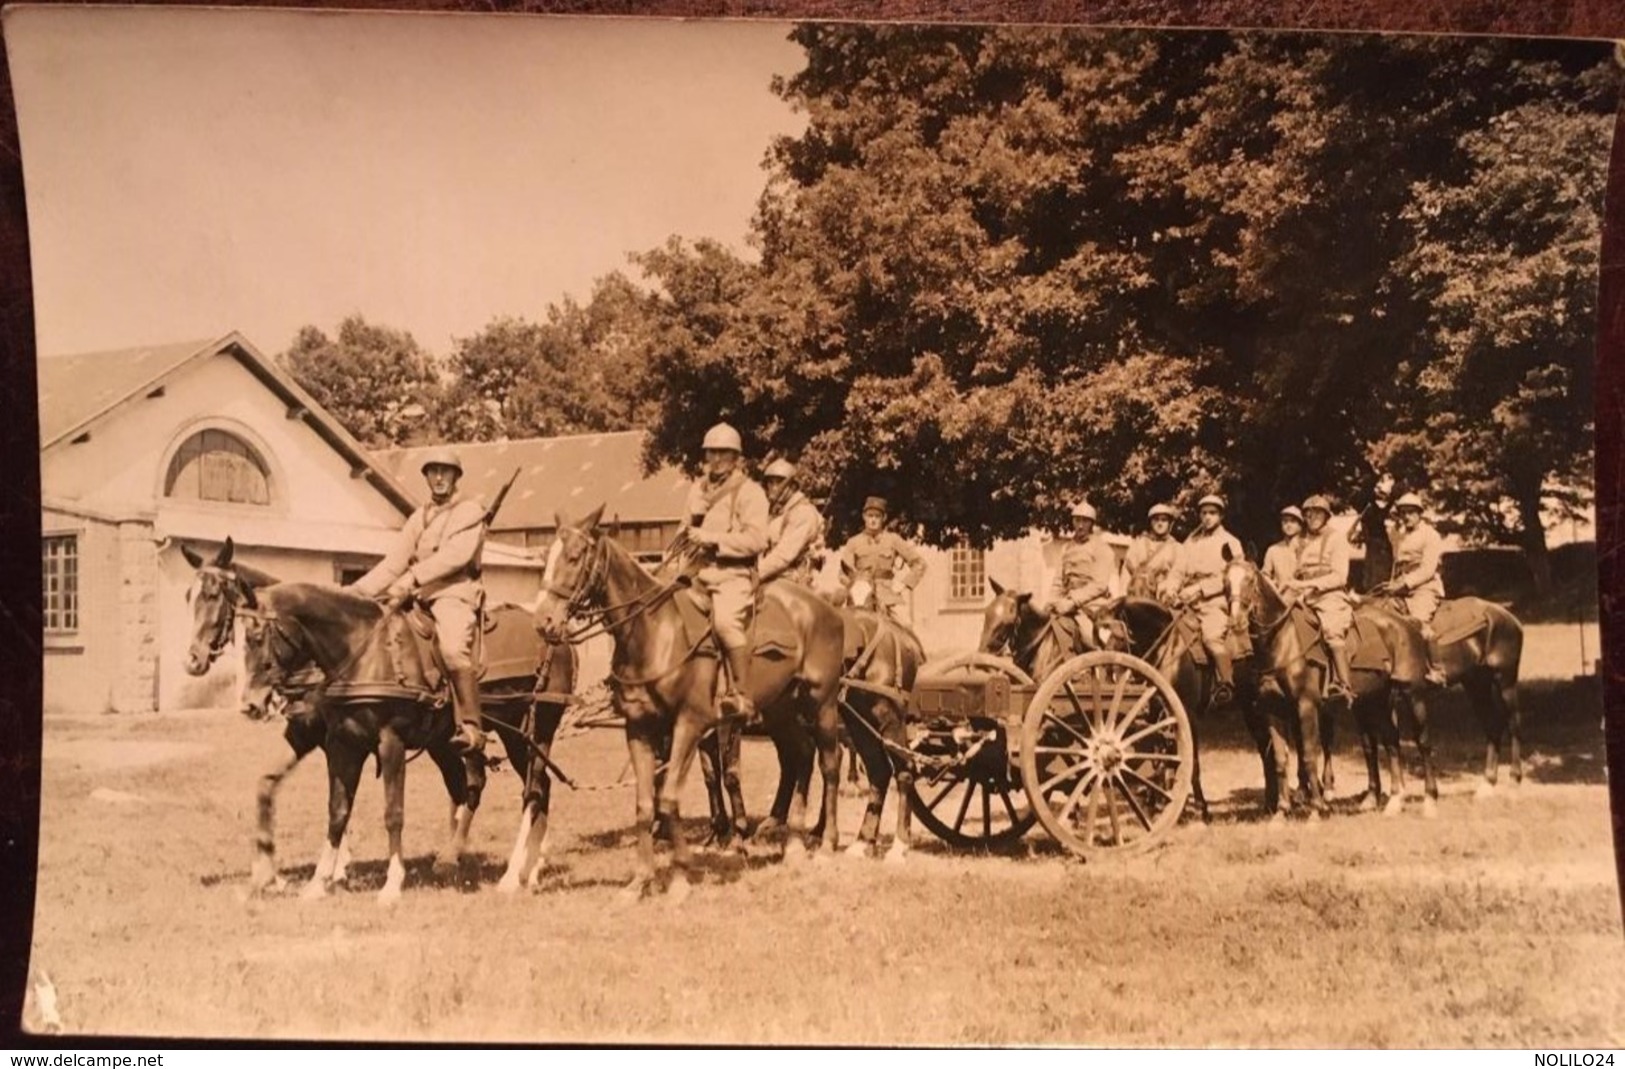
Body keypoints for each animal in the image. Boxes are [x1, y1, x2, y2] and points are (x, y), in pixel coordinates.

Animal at [536, 503, 851, 896]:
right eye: (546, 557)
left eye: (576, 556)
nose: (543, 621)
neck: (655, 632)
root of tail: (828, 609)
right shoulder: (640, 728)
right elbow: (646, 803)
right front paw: (640, 880)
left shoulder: (692, 723)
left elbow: (676, 795)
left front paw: (683, 873)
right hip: (782, 709)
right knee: (803, 756)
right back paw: (792, 842)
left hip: (822, 704)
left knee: (830, 763)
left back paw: (825, 842)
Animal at [1222, 549, 1443, 815]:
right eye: (1225, 582)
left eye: (1250, 580)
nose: (1236, 622)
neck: (1283, 642)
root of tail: (1406, 622)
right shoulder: (1271, 709)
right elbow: (1280, 760)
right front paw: (1282, 811)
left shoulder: (1306, 706)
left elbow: (1309, 756)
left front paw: (1317, 809)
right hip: (1376, 699)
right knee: (1389, 742)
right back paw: (1394, 800)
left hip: (1413, 694)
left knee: (1423, 742)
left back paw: (1430, 800)